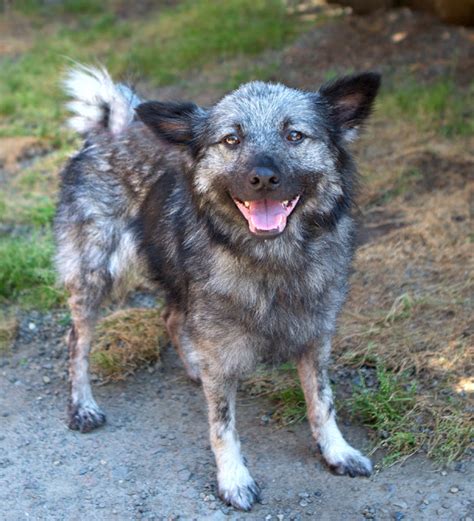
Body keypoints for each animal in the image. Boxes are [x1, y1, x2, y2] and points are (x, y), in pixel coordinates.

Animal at [55, 64, 382, 508]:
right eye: (231, 139)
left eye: (294, 135)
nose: (263, 178)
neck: (271, 261)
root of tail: (113, 128)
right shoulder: (222, 345)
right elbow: (222, 426)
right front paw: (233, 479)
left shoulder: (315, 339)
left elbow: (322, 405)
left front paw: (337, 452)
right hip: (95, 273)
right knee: (79, 341)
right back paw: (83, 406)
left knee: (172, 317)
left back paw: (193, 367)